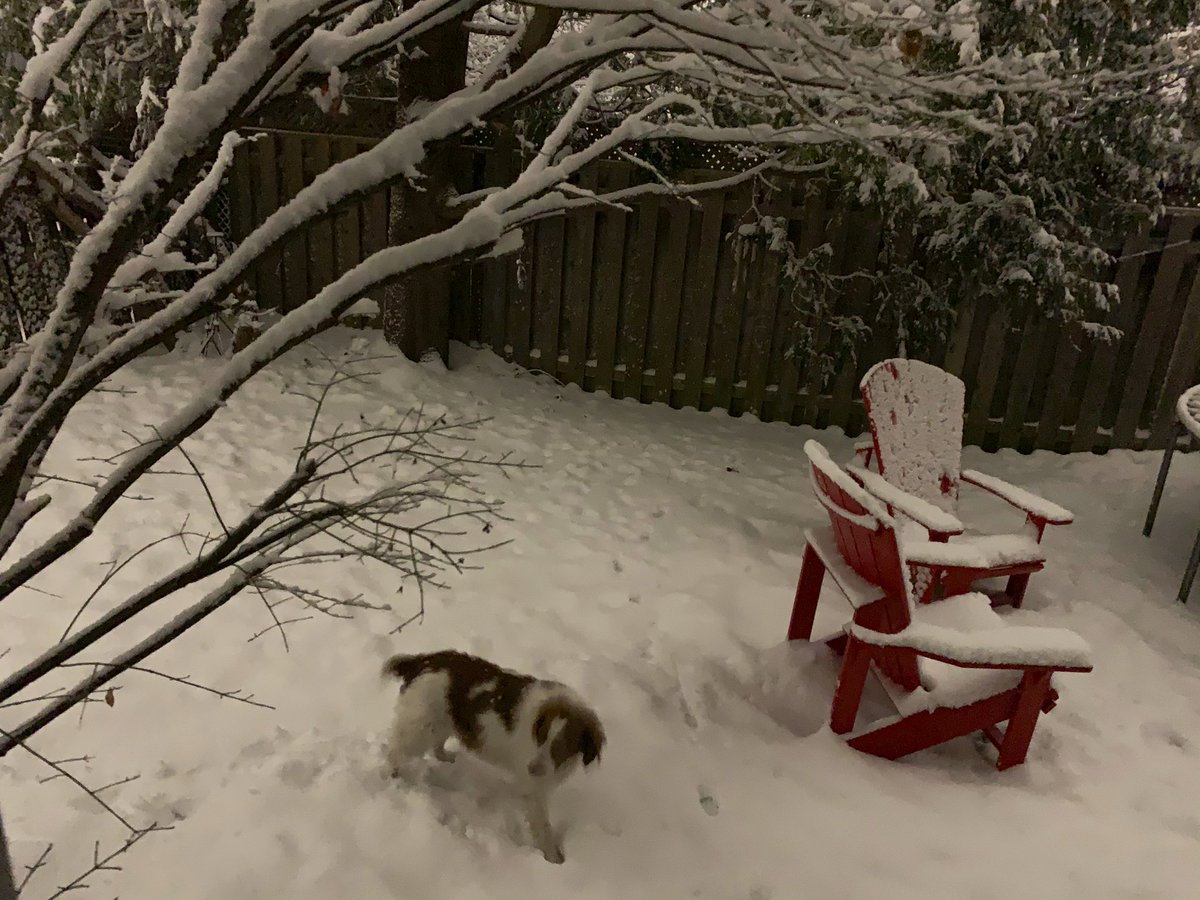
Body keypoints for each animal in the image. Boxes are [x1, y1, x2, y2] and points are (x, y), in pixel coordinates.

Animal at [384, 648, 604, 868]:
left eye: (562, 746)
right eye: (541, 737)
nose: (533, 769)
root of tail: (422, 660)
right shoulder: (532, 791)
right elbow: (542, 828)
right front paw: (553, 859)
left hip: (440, 722)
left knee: (436, 744)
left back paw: (445, 757)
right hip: (418, 729)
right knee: (395, 753)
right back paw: (394, 778)